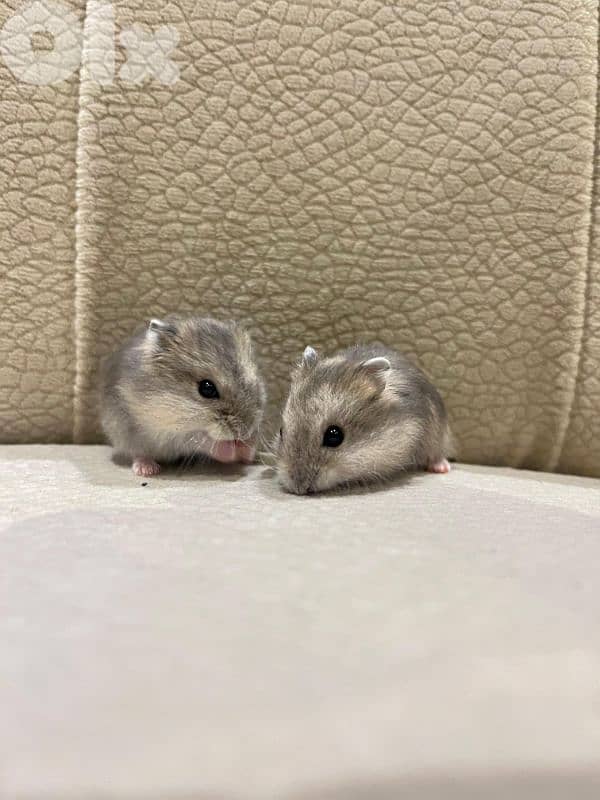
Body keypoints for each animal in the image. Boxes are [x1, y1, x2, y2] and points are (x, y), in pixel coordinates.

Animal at [100, 315, 266, 476]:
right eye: (207, 388)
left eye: (255, 381)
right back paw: (147, 470)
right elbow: (206, 442)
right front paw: (232, 450)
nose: (245, 432)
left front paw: (247, 447)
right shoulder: (172, 433)